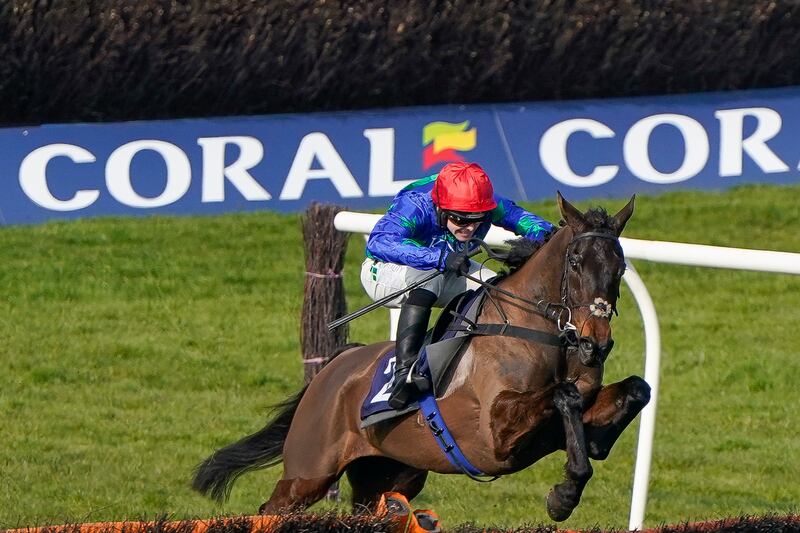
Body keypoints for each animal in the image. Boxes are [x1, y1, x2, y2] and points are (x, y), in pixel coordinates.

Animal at [192, 193, 648, 520]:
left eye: (620, 267)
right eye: (576, 261)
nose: (596, 343)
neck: (535, 331)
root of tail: (331, 369)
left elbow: (635, 389)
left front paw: (593, 449)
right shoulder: (495, 433)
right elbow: (563, 394)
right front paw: (564, 494)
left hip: (387, 474)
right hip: (308, 472)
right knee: (271, 510)